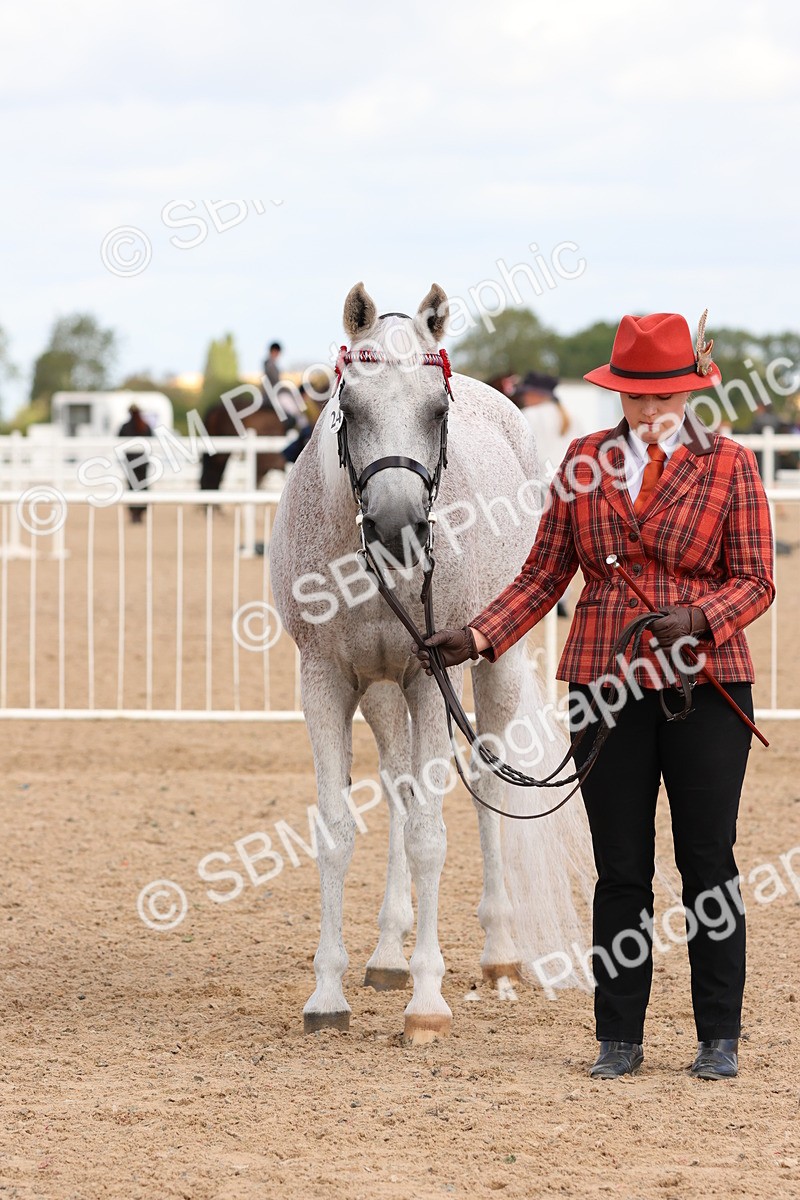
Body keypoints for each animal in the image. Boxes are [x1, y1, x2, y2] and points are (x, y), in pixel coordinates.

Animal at [269, 283, 593, 1044]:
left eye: (435, 411)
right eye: (350, 406)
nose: (398, 528)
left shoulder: (427, 674)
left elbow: (429, 837)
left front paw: (427, 1002)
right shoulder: (326, 681)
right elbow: (339, 831)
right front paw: (328, 994)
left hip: (493, 666)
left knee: (488, 782)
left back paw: (499, 953)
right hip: (382, 692)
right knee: (398, 785)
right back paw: (388, 952)